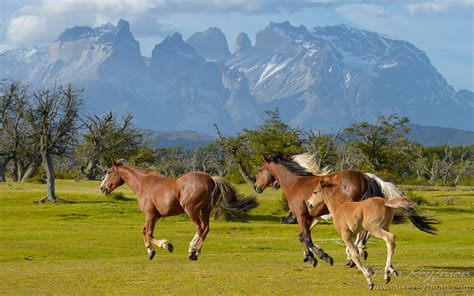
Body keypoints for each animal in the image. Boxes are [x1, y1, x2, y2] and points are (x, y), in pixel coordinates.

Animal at [97, 161, 258, 260]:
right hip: (206, 210)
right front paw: (150, 251)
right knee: (206, 229)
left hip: (192, 210)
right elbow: (144, 232)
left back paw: (192, 251)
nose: (102, 188)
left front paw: (166, 245)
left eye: (109, 172)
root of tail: (211, 179)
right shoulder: (155, 216)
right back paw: (196, 252)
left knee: (200, 228)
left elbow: (149, 234)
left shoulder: (150, 215)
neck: (144, 184)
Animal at [254, 155, 406, 268]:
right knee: (364, 234)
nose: (256, 187)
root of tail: (365, 177)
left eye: (260, 169)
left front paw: (322, 257)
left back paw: (353, 256)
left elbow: (307, 238)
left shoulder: (301, 216)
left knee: (362, 234)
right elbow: (302, 237)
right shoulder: (310, 217)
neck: (295, 183)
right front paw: (309, 256)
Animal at [308, 178, 436, 290]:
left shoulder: (346, 234)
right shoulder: (353, 234)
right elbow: (350, 252)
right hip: (385, 226)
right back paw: (389, 272)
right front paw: (366, 268)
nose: (309, 204)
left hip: (374, 228)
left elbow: (354, 254)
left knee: (390, 238)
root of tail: (385, 202)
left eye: (315, 192)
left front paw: (369, 280)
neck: (340, 206)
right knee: (391, 242)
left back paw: (388, 271)